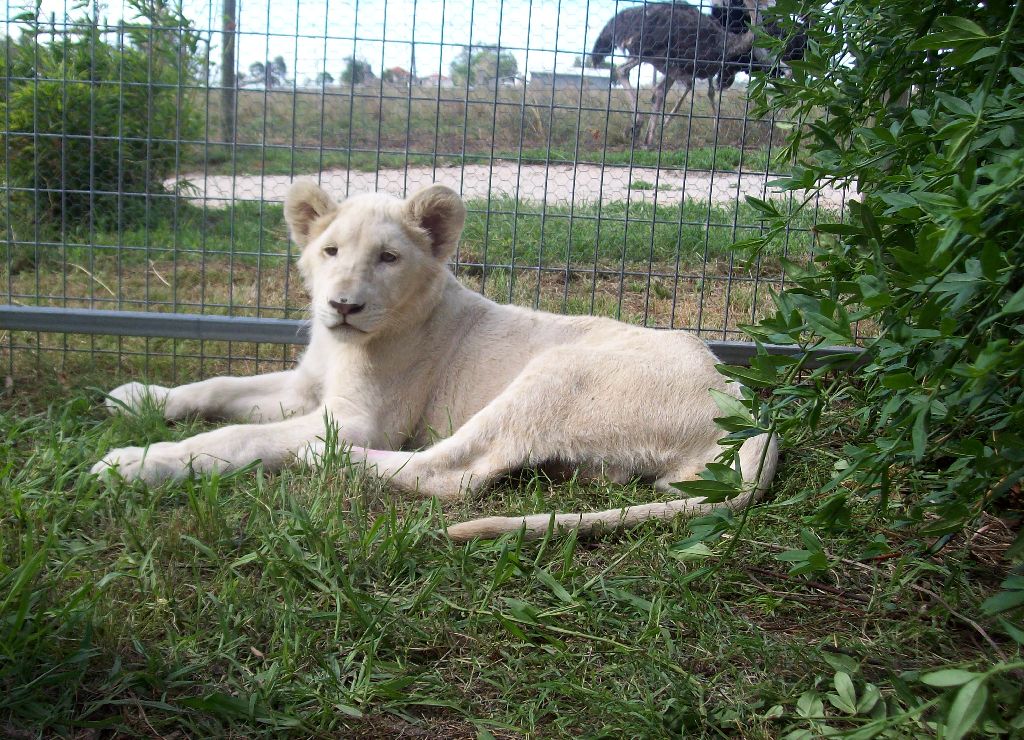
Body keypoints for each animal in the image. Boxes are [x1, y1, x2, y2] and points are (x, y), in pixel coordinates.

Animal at [92, 182, 778, 541]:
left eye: (388, 258)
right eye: (330, 250)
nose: (342, 305)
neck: (350, 344)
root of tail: (748, 407)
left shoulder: (357, 416)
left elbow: (235, 436)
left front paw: (134, 463)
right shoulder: (306, 385)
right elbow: (218, 385)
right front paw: (139, 398)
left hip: (555, 371)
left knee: (452, 473)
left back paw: (324, 458)